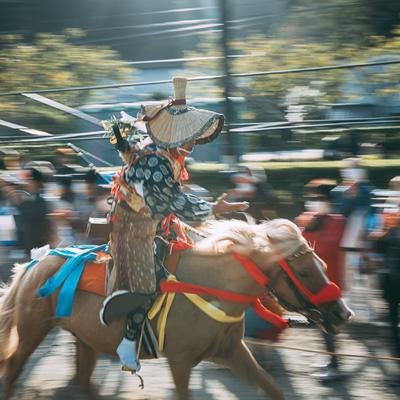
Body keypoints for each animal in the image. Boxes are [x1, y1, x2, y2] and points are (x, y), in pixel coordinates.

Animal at [0, 216, 350, 400]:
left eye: (321, 264)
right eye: (304, 272)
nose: (342, 313)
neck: (212, 285)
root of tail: (34, 264)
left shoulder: (232, 352)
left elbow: (272, 388)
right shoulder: (180, 361)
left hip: (84, 339)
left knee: (85, 381)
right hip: (33, 329)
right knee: (13, 366)